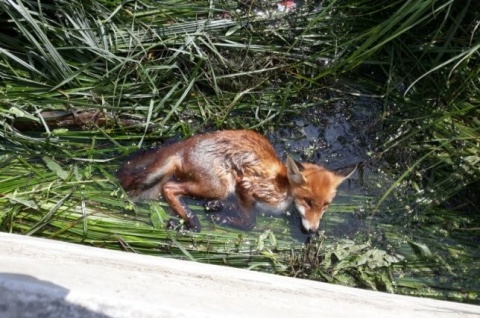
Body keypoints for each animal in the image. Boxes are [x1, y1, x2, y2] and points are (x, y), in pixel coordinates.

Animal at [116, 130, 356, 234]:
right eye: (307, 201)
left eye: (325, 205)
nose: (313, 231)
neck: (284, 189)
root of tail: (185, 145)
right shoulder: (246, 184)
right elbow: (251, 221)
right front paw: (226, 220)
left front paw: (220, 212)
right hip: (221, 185)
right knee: (169, 188)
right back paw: (192, 222)